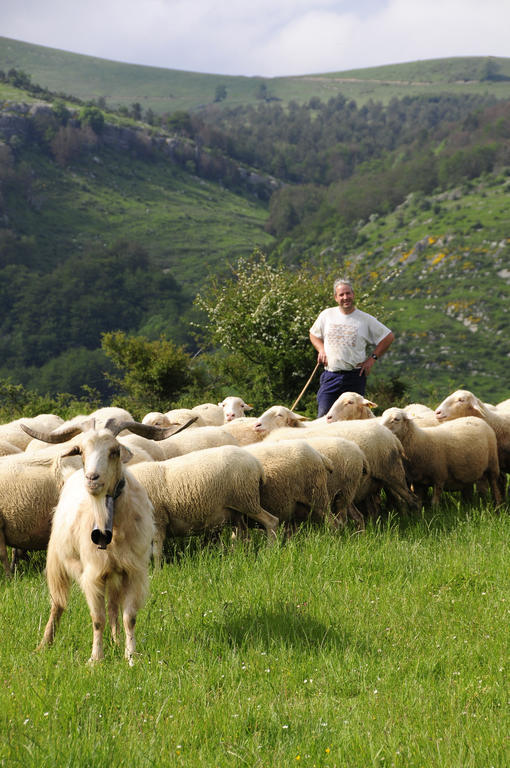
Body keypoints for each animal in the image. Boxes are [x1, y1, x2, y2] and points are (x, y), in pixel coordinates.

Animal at [129, 444, 276, 564]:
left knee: (271, 521)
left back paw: (269, 552)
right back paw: (237, 556)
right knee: (242, 534)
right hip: (235, 511)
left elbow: (156, 553)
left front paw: (158, 574)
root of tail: (256, 463)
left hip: (246, 500)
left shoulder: (158, 520)